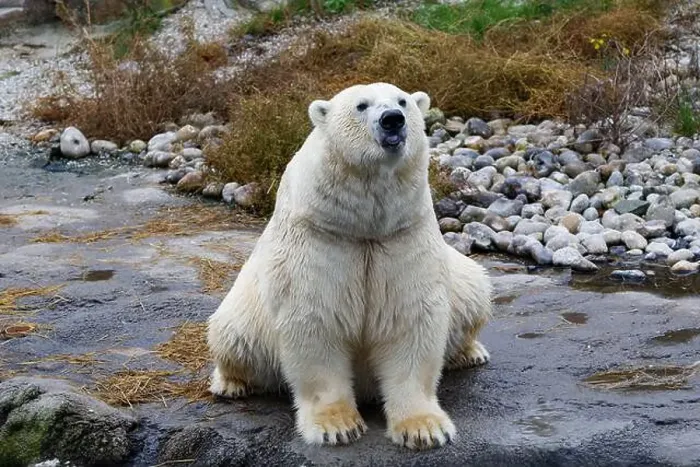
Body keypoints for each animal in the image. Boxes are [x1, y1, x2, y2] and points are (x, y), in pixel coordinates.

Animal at [207, 82, 492, 451]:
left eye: (402, 101)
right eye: (361, 106)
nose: (392, 120)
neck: (364, 226)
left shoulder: (403, 235)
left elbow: (410, 318)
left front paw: (424, 429)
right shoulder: (318, 238)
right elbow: (316, 320)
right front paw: (338, 426)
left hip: (460, 275)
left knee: (475, 290)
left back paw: (469, 352)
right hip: (244, 310)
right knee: (231, 335)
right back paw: (231, 384)